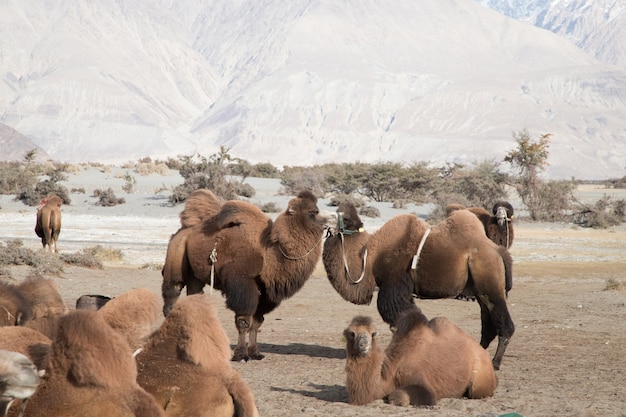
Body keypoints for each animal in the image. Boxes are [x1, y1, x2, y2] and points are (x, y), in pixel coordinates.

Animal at [162, 189, 336, 360]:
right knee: (172, 295)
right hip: (176, 258)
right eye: (313, 212)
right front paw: (241, 354)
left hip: (195, 276)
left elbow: (257, 322)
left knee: (194, 298)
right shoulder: (242, 284)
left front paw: (255, 352)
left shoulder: (264, 292)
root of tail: (184, 231)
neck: (269, 254)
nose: (334, 218)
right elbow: (244, 321)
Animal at [344, 306, 494, 406]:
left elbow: (400, 396)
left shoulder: (421, 381)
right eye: (352, 333)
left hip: (481, 377)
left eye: (373, 334)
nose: (364, 343)